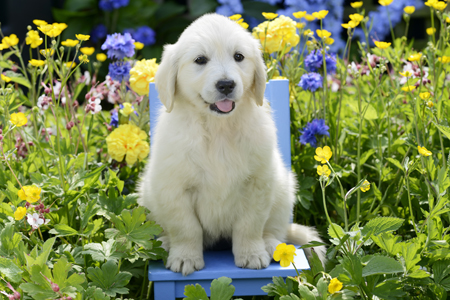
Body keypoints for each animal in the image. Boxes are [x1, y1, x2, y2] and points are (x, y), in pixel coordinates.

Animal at [139, 12, 326, 276]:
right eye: (200, 60)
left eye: (239, 56)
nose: (226, 84)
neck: (218, 128)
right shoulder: (174, 187)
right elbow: (186, 227)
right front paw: (185, 257)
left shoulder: (257, 184)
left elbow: (250, 224)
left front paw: (251, 254)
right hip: (147, 193)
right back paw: (165, 243)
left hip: (282, 188)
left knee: (276, 229)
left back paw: (271, 245)